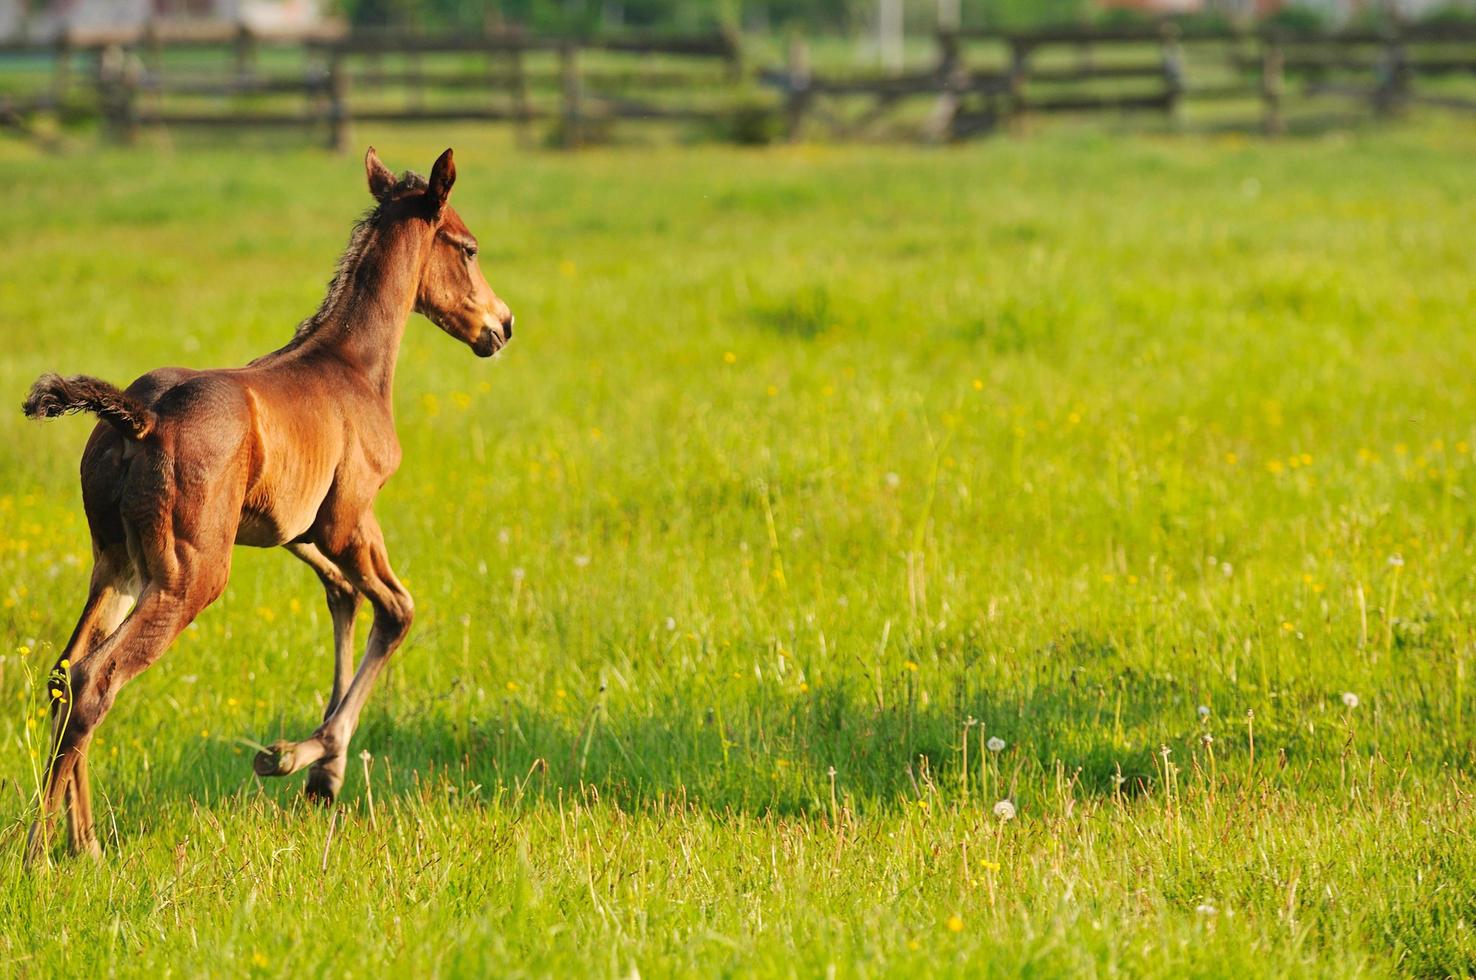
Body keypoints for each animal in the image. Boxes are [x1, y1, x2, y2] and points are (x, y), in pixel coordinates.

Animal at [14, 147, 513, 867]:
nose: (502, 326)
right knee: (93, 679)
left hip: (117, 566)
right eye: (468, 248)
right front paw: (303, 760)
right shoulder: (348, 520)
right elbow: (397, 610)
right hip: (188, 576)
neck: (352, 366)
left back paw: (86, 845)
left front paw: (320, 772)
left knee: (63, 673)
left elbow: (344, 598)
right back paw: (42, 853)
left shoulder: (295, 531)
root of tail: (138, 418)